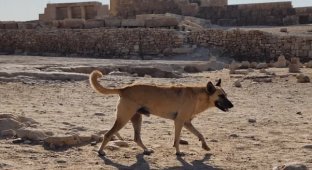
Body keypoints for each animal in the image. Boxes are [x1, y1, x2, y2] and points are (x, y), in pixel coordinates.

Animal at [89, 69, 233, 156]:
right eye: (221, 96)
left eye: (226, 95)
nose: (232, 105)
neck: (199, 96)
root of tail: (124, 89)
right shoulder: (179, 122)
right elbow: (177, 139)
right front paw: (178, 152)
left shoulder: (187, 123)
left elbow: (200, 134)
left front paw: (205, 146)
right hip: (123, 119)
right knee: (108, 134)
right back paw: (100, 151)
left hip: (137, 118)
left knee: (136, 138)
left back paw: (146, 150)